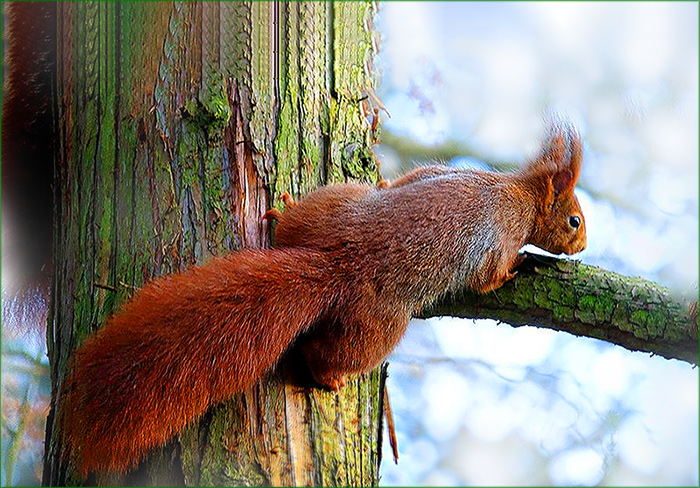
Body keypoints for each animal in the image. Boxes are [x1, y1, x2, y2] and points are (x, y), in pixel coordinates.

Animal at [61, 123, 586, 476]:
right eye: (575, 220)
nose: (582, 246)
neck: (519, 191)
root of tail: (333, 263)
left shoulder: (436, 174)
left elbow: (412, 177)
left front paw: (387, 180)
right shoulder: (501, 236)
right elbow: (489, 276)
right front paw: (517, 269)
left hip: (334, 203)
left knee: (301, 222)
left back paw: (284, 211)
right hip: (378, 326)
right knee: (331, 353)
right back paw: (329, 376)